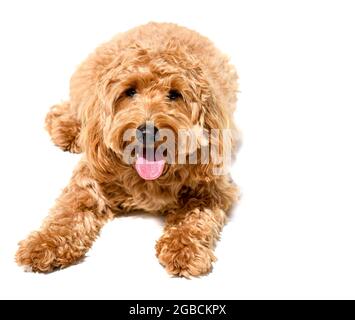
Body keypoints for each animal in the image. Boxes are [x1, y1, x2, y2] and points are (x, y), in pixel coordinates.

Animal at [16, 23, 239, 278]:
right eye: (130, 91)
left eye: (174, 94)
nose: (148, 130)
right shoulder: (90, 179)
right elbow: (70, 211)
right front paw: (43, 243)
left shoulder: (213, 187)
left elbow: (195, 215)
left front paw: (184, 248)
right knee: (64, 110)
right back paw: (69, 129)